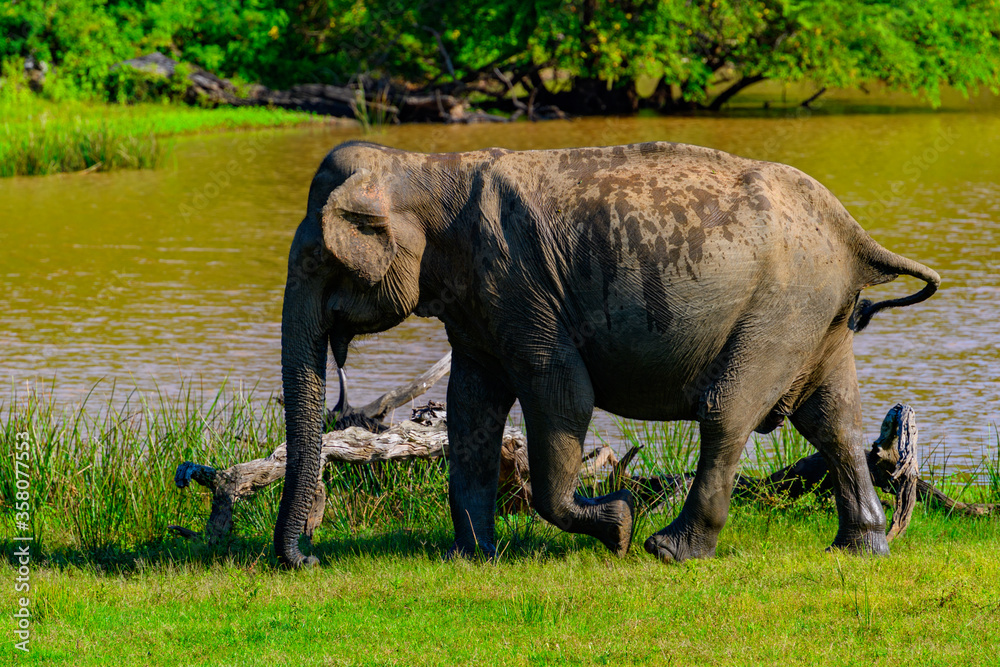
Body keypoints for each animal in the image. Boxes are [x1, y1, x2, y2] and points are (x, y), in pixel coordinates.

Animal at [273, 140, 939, 568]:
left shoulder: (520, 288)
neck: (422, 166)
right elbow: (470, 406)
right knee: (834, 419)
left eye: (319, 261)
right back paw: (859, 548)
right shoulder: (479, 305)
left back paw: (668, 551)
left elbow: (560, 393)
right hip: (816, 313)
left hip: (782, 305)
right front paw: (471, 559)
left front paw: (618, 525)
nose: (306, 560)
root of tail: (855, 233)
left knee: (727, 413)